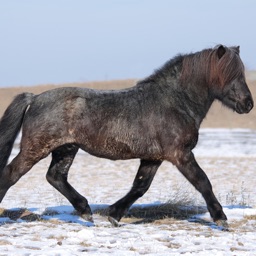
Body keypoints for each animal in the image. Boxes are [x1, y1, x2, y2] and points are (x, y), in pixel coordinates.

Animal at [0, 44, 253, 228]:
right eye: (230, 74)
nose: (248, 104)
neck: (175, 102)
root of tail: (35, 98)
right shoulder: (180, 155)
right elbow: (203, 182)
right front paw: (221, 218)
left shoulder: (153, 158)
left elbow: (139, 187)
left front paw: (114, 214)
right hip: (36, 149)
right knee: (11, 174)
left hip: (66, 148)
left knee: (55, 177)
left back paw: (85, 211)